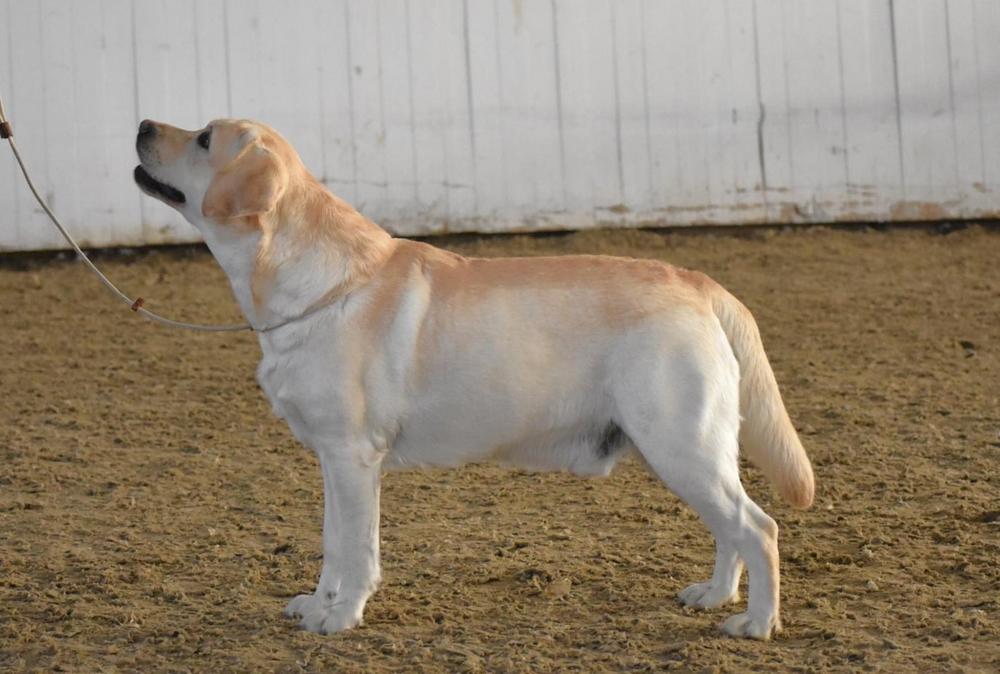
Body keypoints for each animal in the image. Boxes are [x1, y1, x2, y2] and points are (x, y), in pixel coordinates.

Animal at [134, 118, 814, 640]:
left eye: (203, 138)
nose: (141, 124)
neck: (316, 287)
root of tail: (699, 281)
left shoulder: (354, 456)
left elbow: (357, 549)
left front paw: (342, 616)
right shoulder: (332, 457)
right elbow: (331, 542)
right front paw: (316, 604)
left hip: (681, 444)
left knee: (760, 527)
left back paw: (755, 624)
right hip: (681, 451)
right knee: (731, 528)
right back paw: (715, 595)